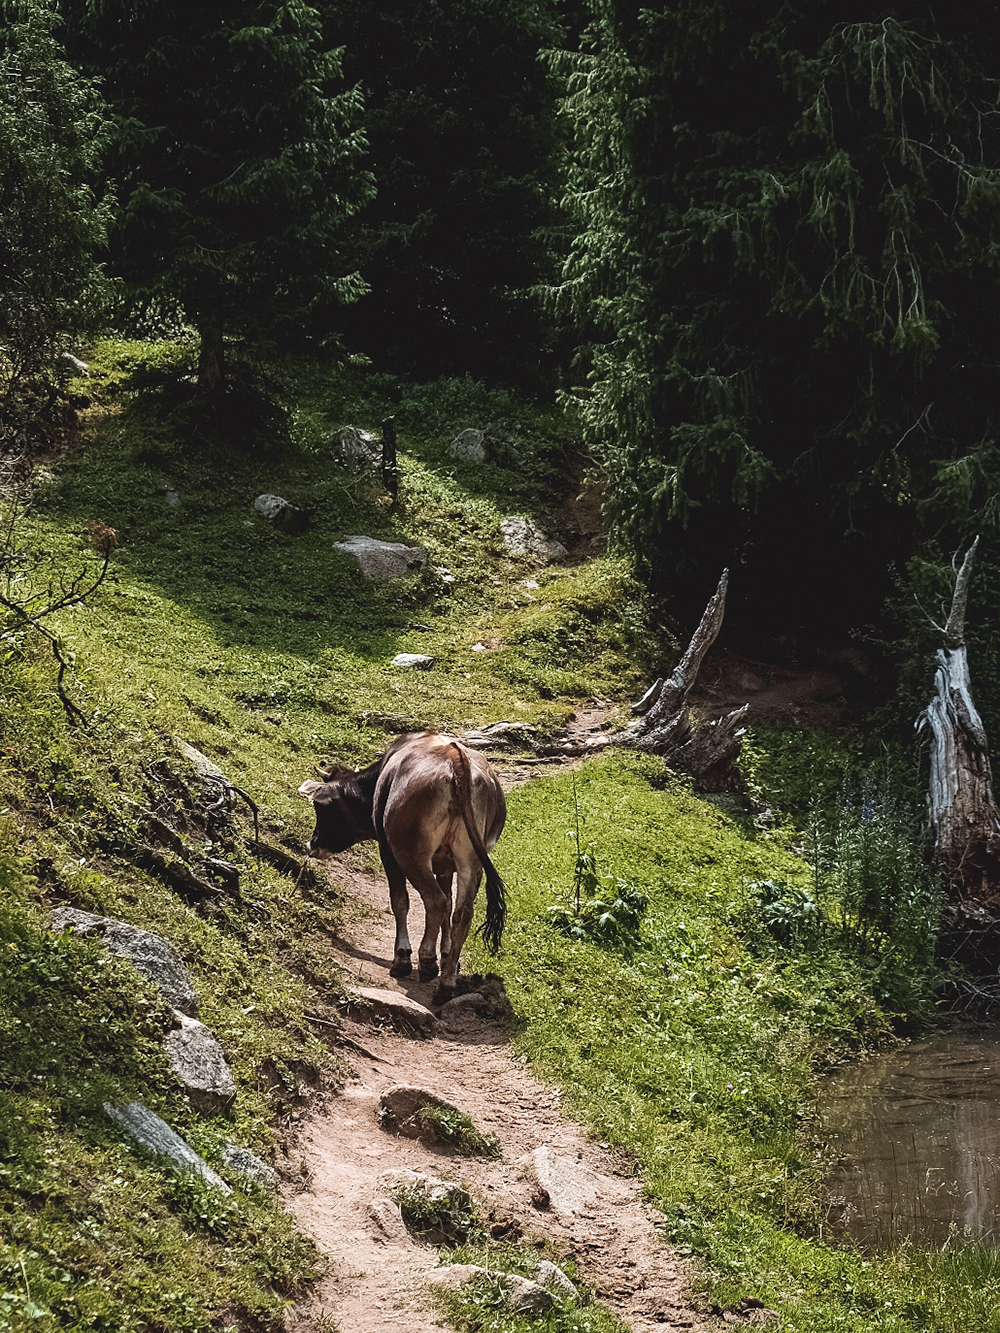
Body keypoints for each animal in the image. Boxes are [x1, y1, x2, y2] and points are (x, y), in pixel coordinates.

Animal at [293, 730, 504, 1002]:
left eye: (320, 805)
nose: (312, 844)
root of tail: (455, 758)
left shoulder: (387, 850)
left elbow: (400, 901)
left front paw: (402, 957)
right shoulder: (446, 865)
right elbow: (448, 906)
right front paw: (448, 955)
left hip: (410, 853)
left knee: (435, 900)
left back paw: (426, 961)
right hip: (471, 860)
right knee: (462, 911)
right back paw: (446, 982)